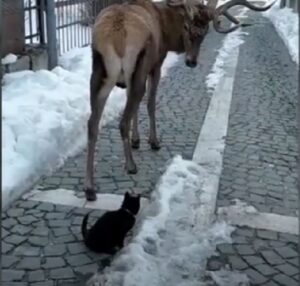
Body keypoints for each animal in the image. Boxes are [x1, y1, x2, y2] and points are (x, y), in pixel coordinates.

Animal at [84, 0, 274, 201]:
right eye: (187, 27)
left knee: (92, 124)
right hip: (136, 69)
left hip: (99, 74)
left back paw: (89, 188)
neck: (166, 33)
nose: (191, 61)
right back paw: (130, 166)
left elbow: (136, 108)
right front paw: (153, 141)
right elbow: (150, 103)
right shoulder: (155, 64)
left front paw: (137, 140)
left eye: (205, 32)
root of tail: (115, 35)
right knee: (122, 121)